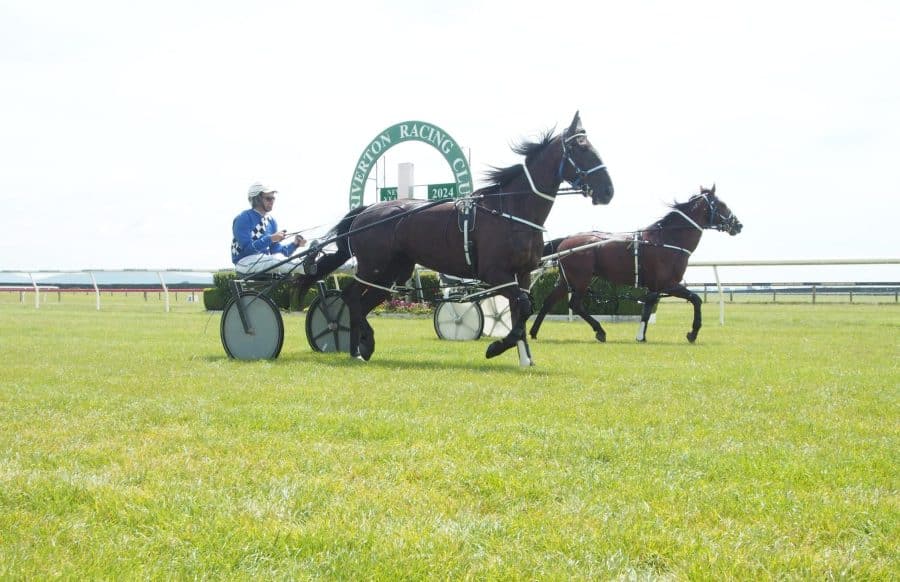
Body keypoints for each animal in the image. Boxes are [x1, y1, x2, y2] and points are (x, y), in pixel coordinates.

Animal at [308, 111, 612, 362]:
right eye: (581, 149)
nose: (608, 190)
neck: (510, 209)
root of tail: (367, 210)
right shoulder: (494, 273)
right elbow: (524, 308)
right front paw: (496, 347)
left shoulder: (522, 274)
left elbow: (521, 310)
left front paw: (523, 356)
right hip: (374, 267)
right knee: (351, 297)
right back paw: (358, 345)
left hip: (393, 273)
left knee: (363, 302)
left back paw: (361, 346)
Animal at [528, 185, 740, 344]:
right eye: (721, 204)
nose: (738, 224)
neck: (667, 240)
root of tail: (566, 240)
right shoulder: (667, 284)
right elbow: (696, 299)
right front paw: (693, 333)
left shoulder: (654, 287)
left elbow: (647, 309)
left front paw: (641, 336)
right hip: (581, 279)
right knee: (575, 304)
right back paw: (600, 331)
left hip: (567, 280)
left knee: (548, 302)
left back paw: (534, 332)